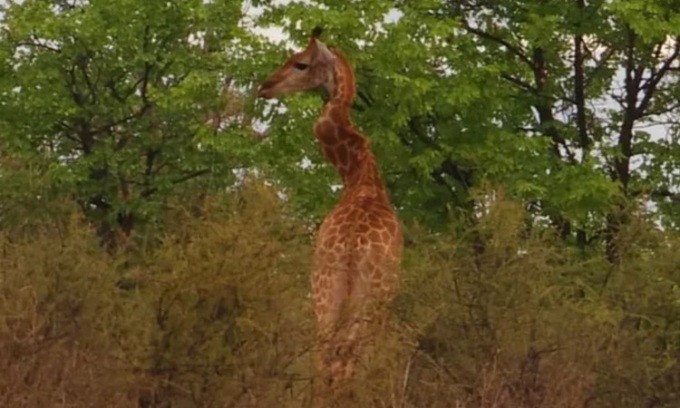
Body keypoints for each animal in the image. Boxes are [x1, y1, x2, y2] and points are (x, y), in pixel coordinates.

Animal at [258, 27, 402, 396]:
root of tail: (352, 248)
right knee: (344, 359)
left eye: (301, 63)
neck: (359, 176)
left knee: (326, 357)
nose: (264, 86)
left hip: (326, 294)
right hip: (364, 299)